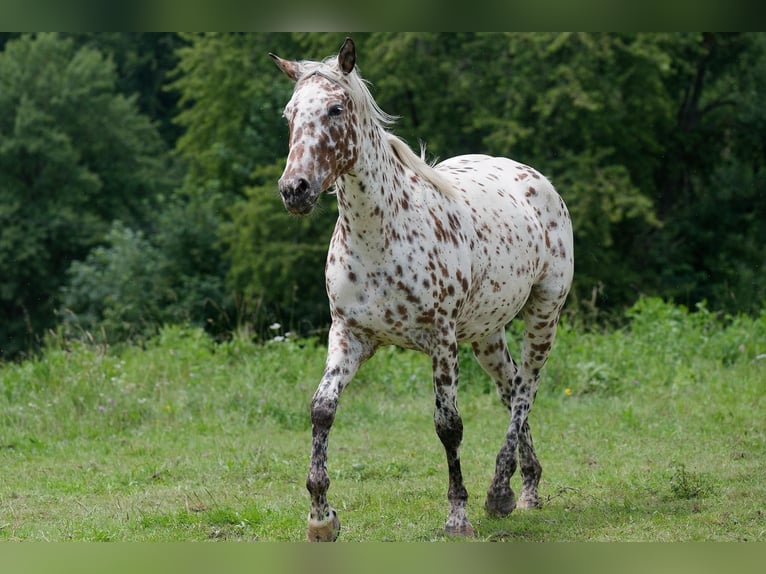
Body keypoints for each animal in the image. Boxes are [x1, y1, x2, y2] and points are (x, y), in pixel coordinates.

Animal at [270, 38, 576, 544]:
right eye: (290, 114)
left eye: (336, 109)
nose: (295, 189)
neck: (380, 236)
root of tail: (534, 178)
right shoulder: (349, 335)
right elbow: (322, 410)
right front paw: (321, 518)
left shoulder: (441, 340)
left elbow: (448, 426)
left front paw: (458, 516)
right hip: (487, 334)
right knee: (511, 388)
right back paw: (526, 488)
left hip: (544, 313)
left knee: (527, 388)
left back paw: (499, 493)